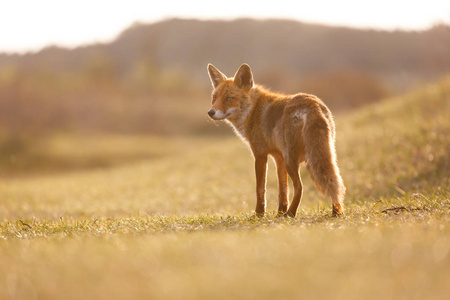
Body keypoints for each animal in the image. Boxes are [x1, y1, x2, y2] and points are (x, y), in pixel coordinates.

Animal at [207, 63, 344, 218]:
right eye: (214, 98)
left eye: (229, 98)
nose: (210, 112)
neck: (252, 111)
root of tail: (312, 103)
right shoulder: (279, 158)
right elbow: (283, 190)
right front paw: (279, 212)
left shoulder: (260, 155)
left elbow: (260, 188)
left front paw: (259, 213)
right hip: (326, 154)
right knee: (336, 181)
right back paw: (336, 212)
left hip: (292, 160)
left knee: (300, 187)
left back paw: (291, 213)